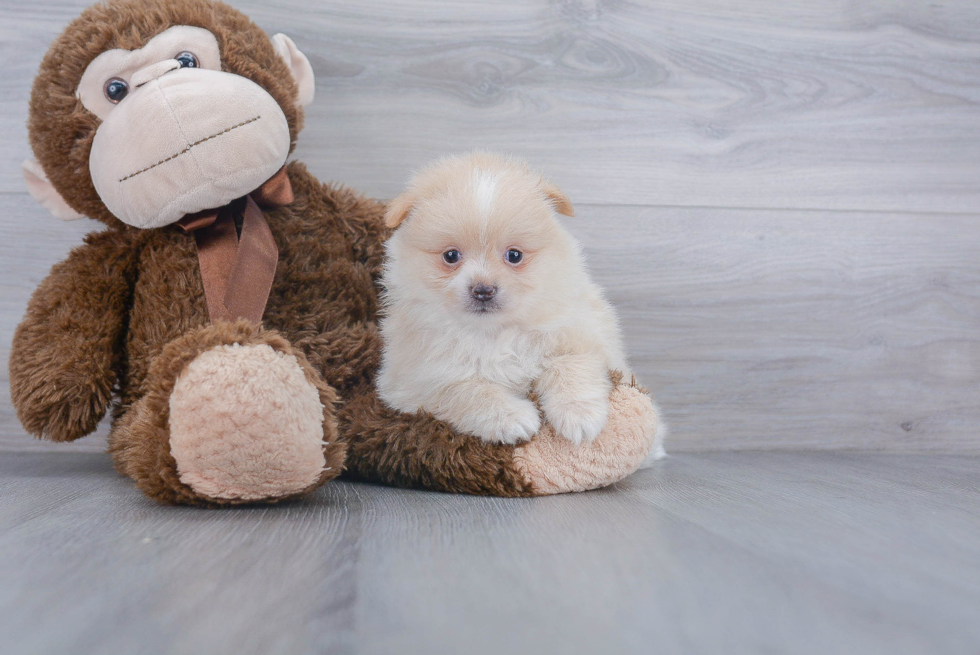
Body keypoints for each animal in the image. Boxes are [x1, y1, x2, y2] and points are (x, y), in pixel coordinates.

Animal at [376, 151, 628, 446]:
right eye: (451, 256)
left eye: (514, 255)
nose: (483, 290)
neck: (494, 332)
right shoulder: (416, 382)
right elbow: (466, 390)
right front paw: (513, 418)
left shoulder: (582, 334)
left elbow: (572, 366)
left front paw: (579, 415)